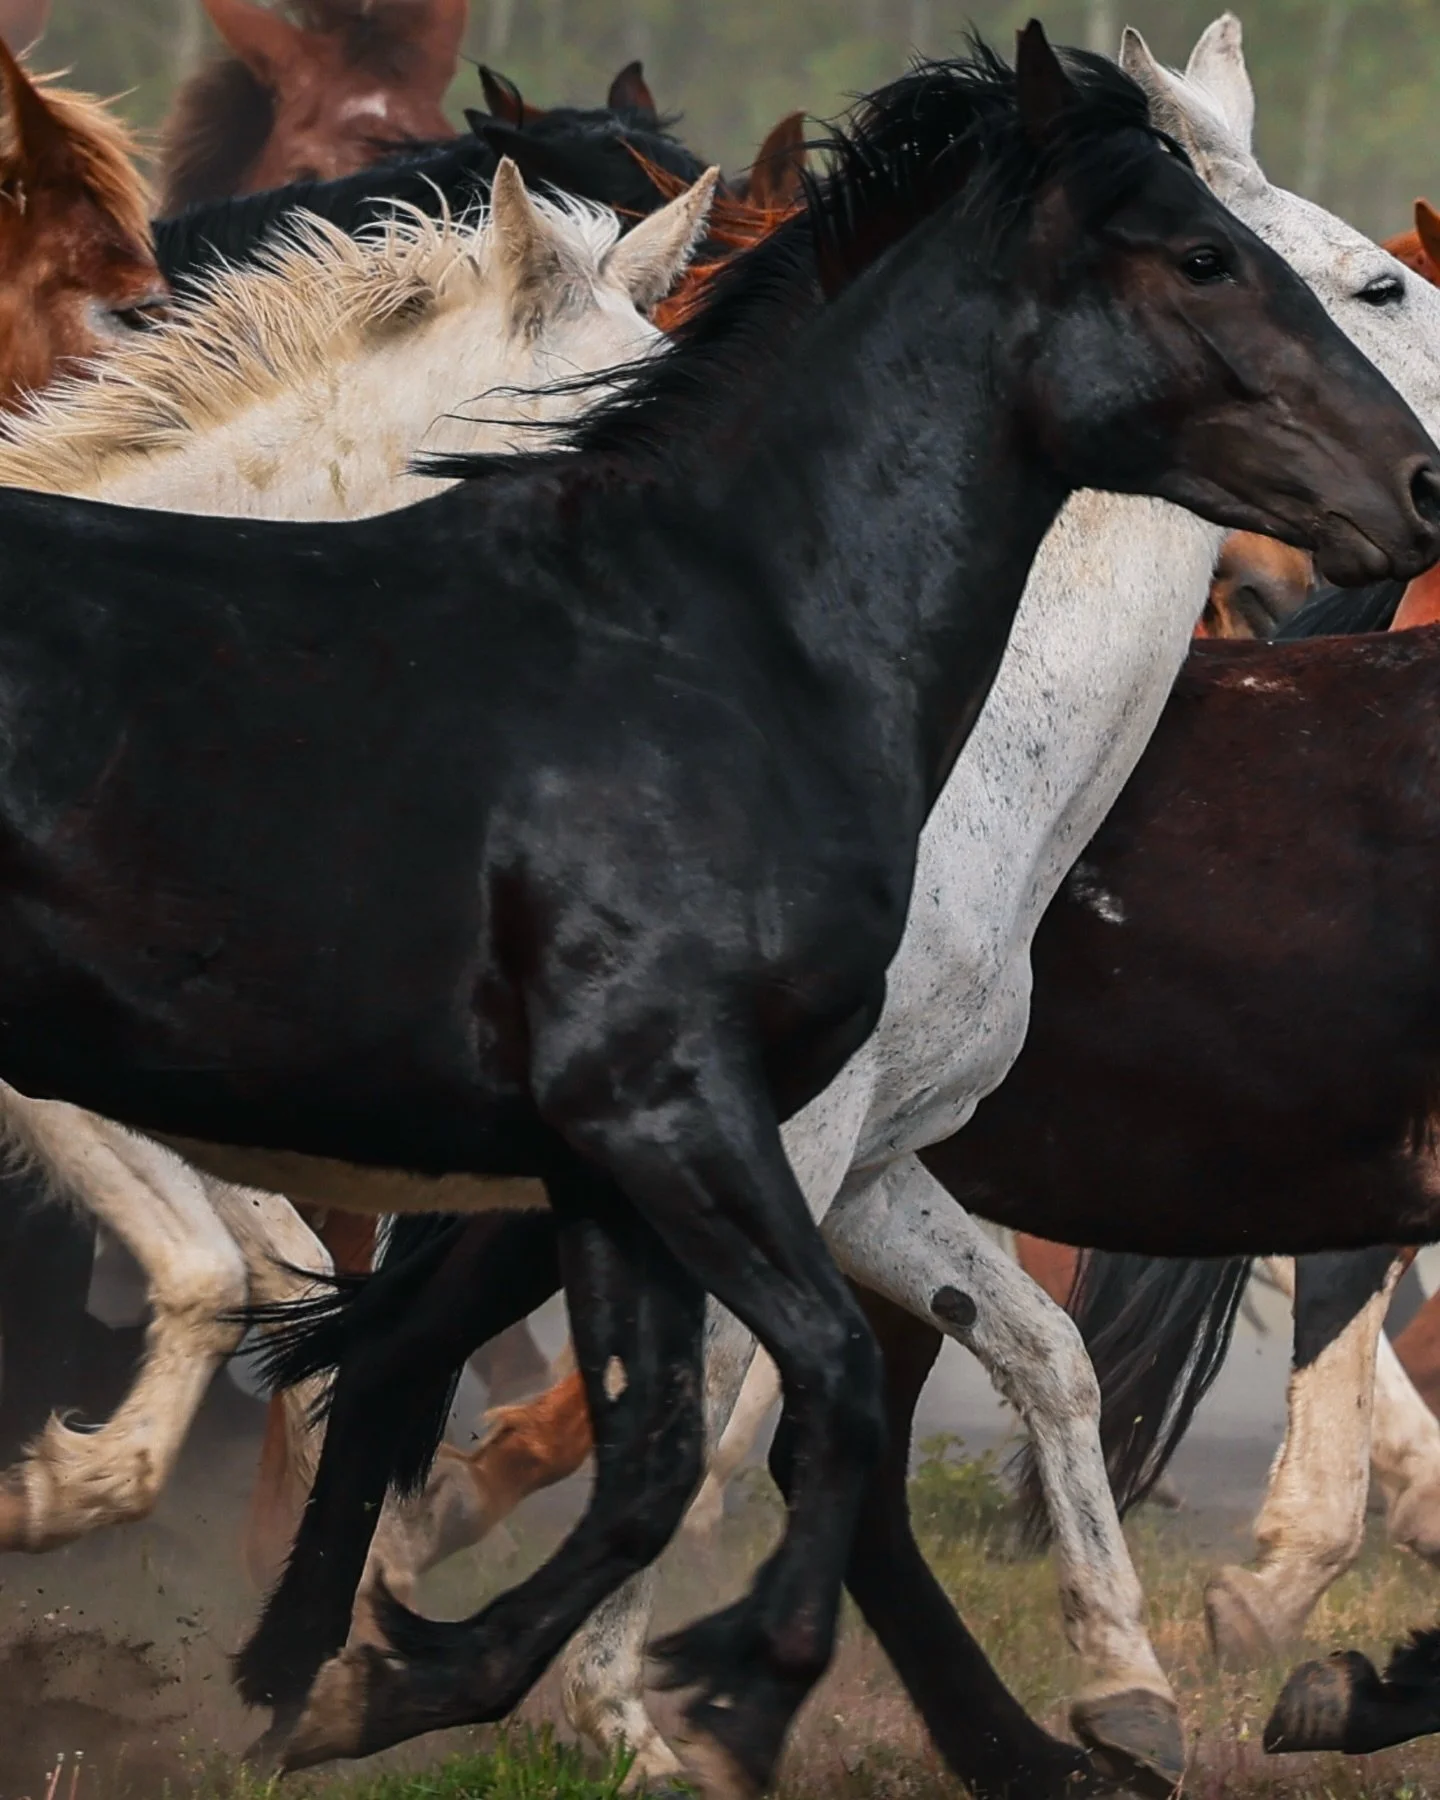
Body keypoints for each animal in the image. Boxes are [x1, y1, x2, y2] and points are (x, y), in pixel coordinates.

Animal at [180, 21, 1440, 1797]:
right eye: (1370, 283)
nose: (1425, 483)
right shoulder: (763, 1145)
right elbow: (711, 1410)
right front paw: (620, 1721)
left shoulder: (864, 1160)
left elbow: (962, 1375)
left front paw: (1130, 1687)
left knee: (402, 1355)